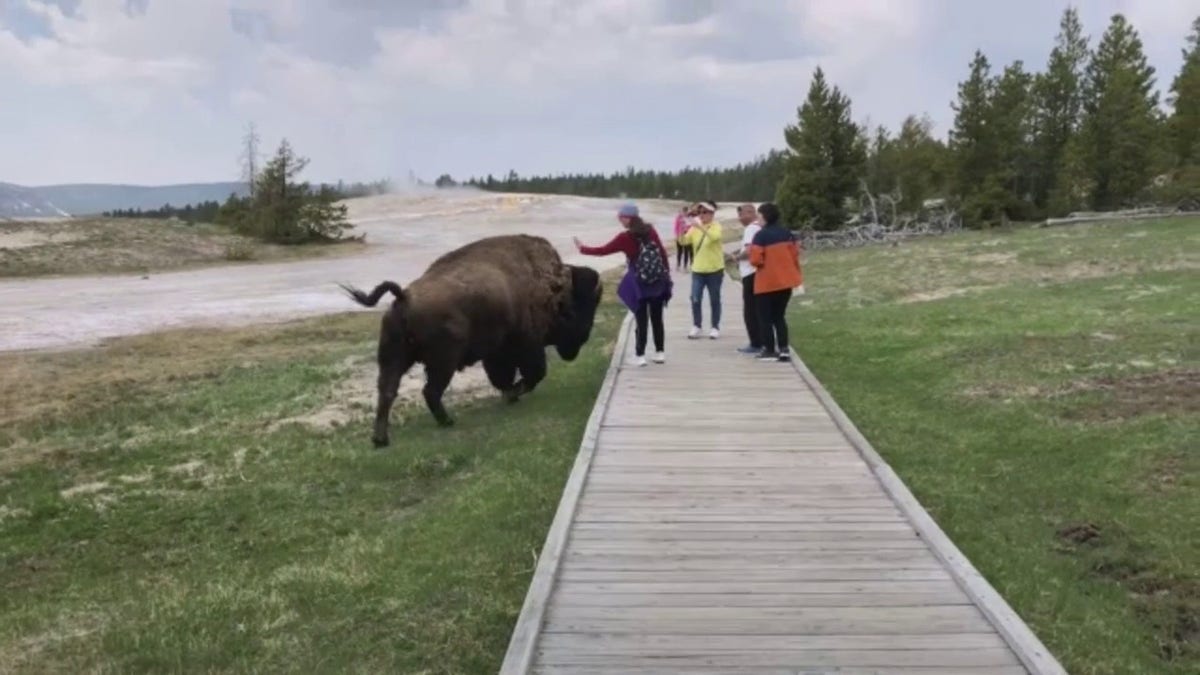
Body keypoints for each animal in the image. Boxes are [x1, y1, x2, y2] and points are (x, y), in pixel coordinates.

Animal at [338, 230, 600, 446]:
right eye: (582, 309)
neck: (553, 287)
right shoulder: (526, 346)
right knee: (430, 391)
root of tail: (404, 297)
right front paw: (512, 395)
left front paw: (509, 395)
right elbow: (533, 375)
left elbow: (504, 377)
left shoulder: (497, 354)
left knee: (387, 391)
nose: (583, 339)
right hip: (443, 362)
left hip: (394, 357)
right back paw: (447, 422)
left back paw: (381, 439)